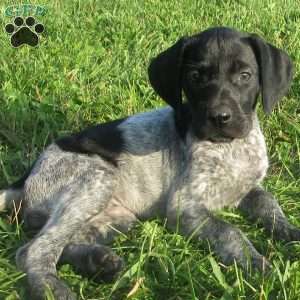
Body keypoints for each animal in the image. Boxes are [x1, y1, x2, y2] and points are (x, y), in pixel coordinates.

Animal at [0, 27, 298, 298]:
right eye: (195, 77)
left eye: (245, 76)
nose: (219, 117)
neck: (230, 148)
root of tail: (26, 176)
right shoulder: (185, 207)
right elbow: (229, 231)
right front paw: (259, 266)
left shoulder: (248, 188)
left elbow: (269, 204)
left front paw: (291, 234)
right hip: (97, 180)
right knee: (33, 249)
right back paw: (51, 288)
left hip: (117, 217)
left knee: (61, 243)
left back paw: (98, 262)